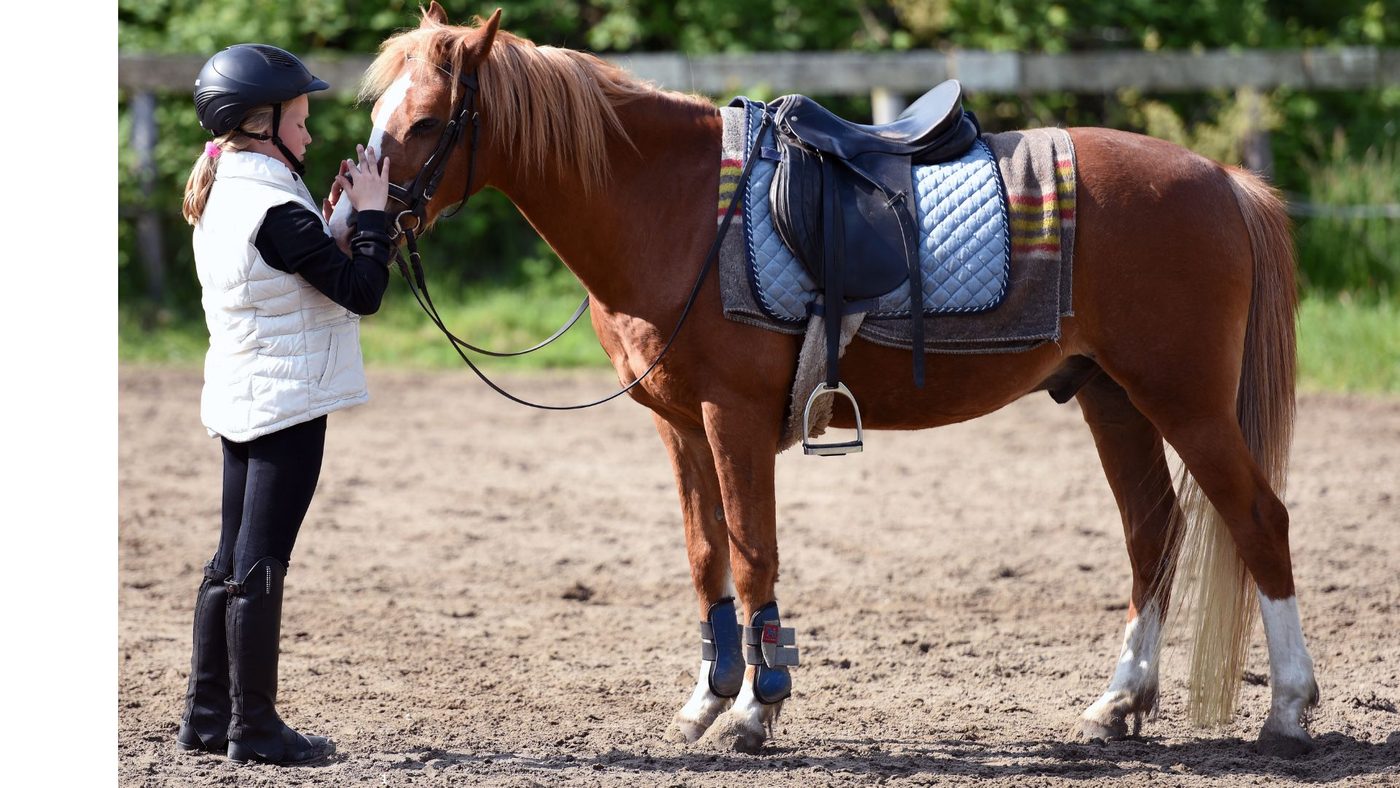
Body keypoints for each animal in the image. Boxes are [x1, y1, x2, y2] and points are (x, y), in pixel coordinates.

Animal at [332, 3, 1319, 756]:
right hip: (1113, 397)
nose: (347, 227)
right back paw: (1119, 702)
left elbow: (753, 554)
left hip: (1186, 401)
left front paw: (754, 708)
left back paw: (1289, 711)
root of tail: (1222, 179)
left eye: (427, 122)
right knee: (1153, 534)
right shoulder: (678, 426)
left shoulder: (729, 418)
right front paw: (708, 696)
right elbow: (706, 555)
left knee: (1259, 521)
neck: (673, 206)